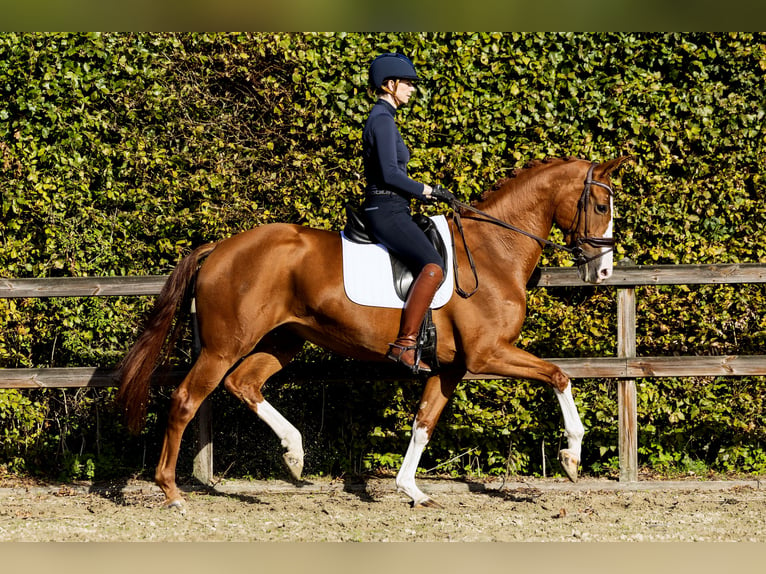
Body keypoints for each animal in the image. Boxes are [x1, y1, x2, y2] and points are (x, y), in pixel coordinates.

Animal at [115, 155, 632, 510]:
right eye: (600, 204)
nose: (604, 272)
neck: (493, 250)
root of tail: (220, 247)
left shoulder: (452, 367)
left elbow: (424, 422)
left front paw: (411, 489)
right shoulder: (489, 354)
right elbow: (560, 376)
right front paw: (571, 457)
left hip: (285, 339)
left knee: (245, 383)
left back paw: (294, 454)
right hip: (226, 345)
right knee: (187, 399)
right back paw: (172, 492)